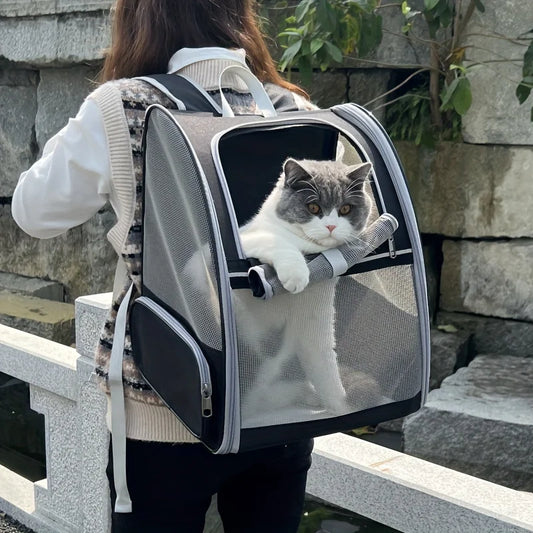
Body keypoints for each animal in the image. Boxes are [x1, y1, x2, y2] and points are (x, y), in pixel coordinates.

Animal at [235, 156, 372, 422]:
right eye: (314, 208)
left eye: (345, 209)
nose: (331, 226)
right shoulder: (246, 239)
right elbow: (277, 242)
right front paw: (296, 276)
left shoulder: (317, 316)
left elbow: (325, 365)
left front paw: (340, 408)